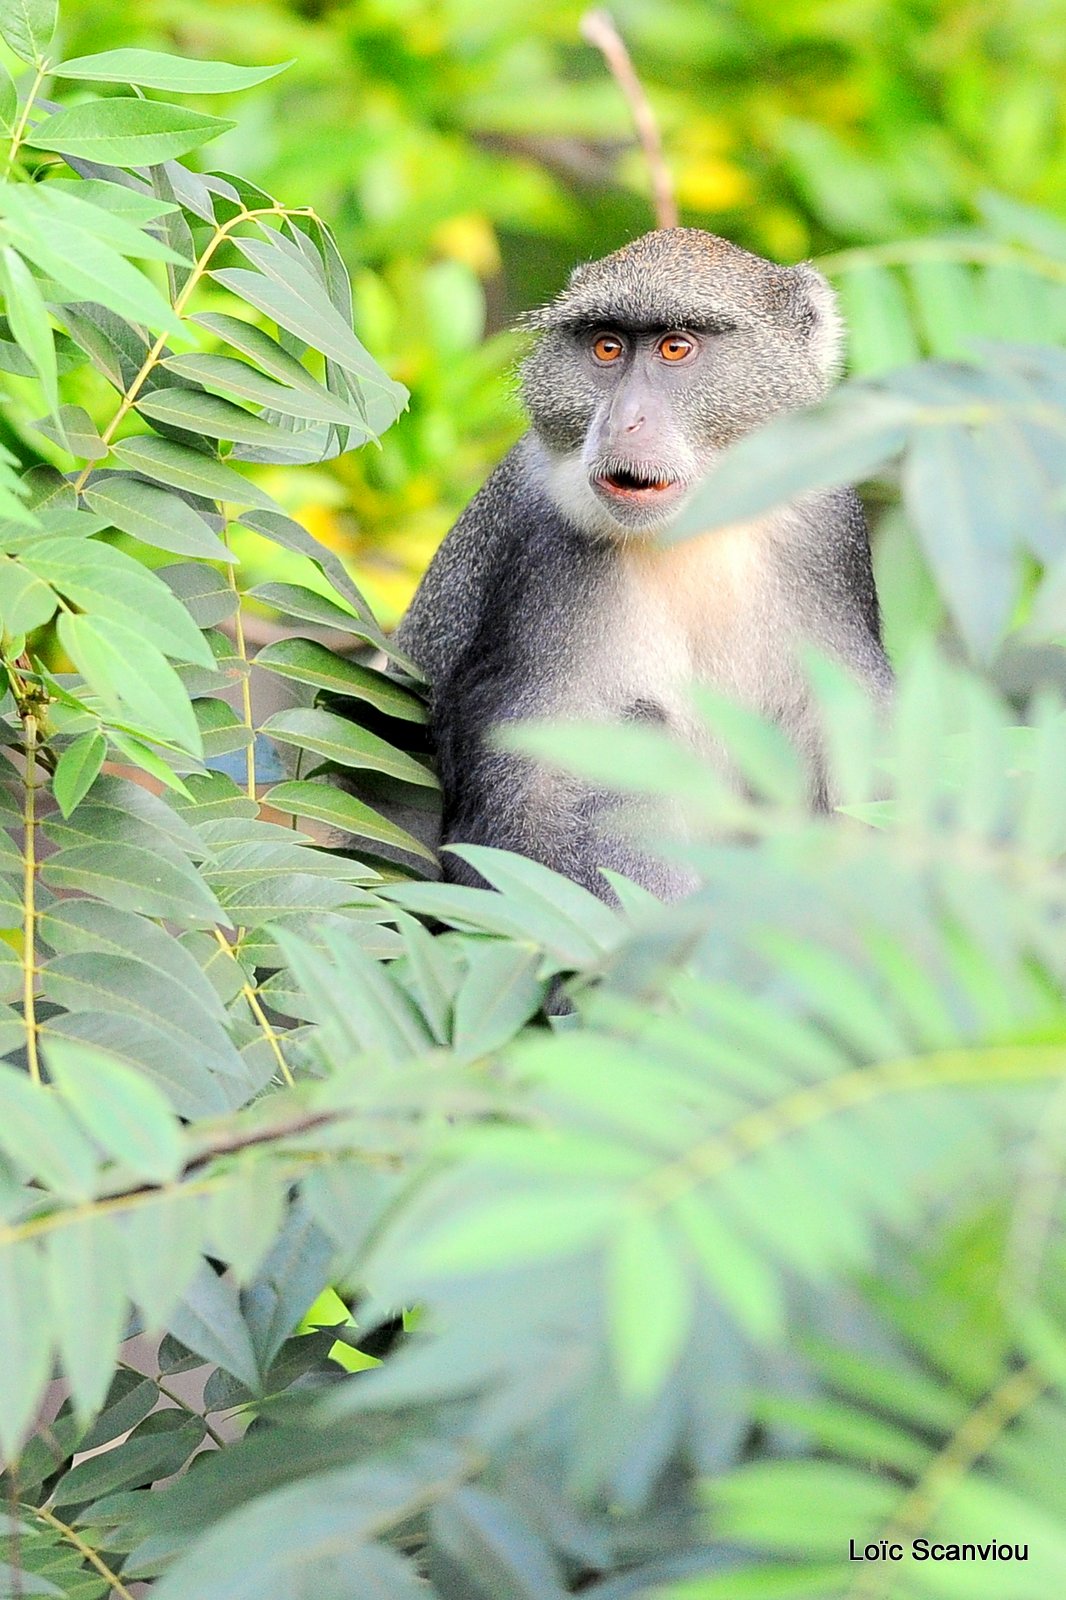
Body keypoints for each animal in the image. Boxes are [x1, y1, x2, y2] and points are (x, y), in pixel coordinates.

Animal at [390, 225, 889, 902]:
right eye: (607, 347)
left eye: (675, 347)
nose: (622, 420)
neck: (695, 528)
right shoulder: (540, 554)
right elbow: (524, 811)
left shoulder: (829, 528)